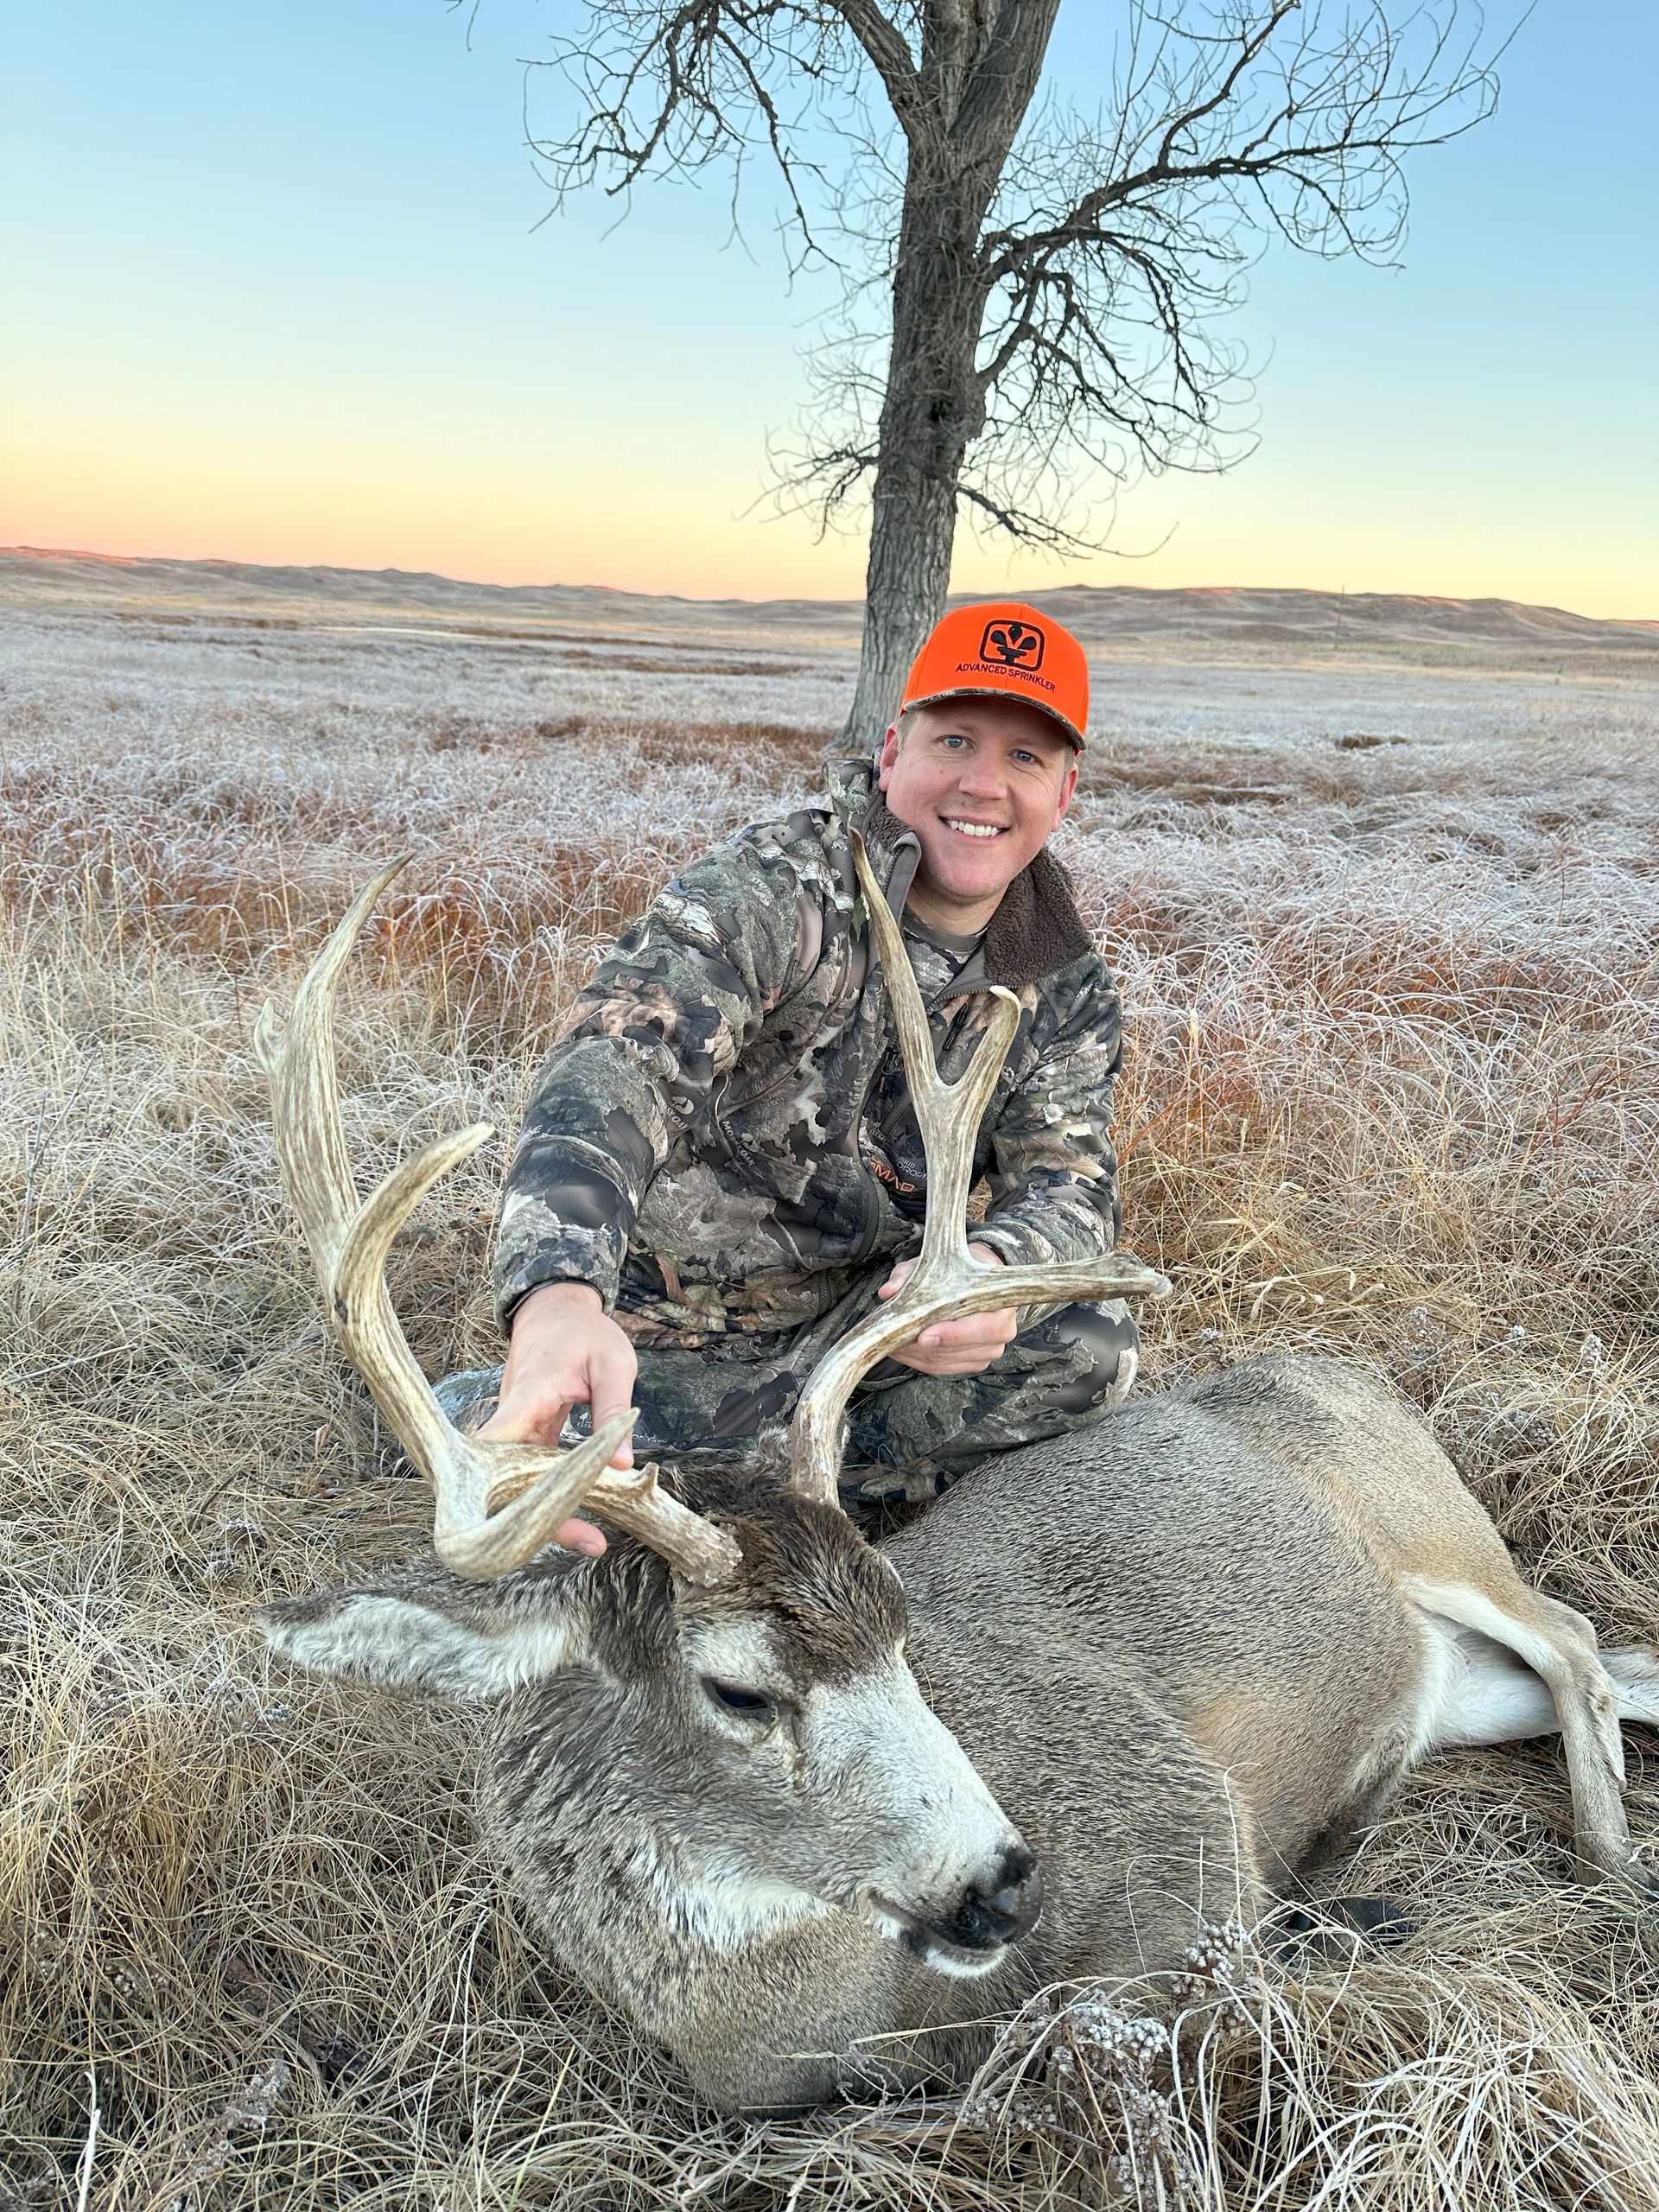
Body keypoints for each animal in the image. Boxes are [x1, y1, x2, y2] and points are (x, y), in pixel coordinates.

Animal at [255, 849, 1659, 2113]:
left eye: (903, 1627)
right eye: (739, 1690)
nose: (1000, 1881)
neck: (817, 2012)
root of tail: (1354, 1372)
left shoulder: (1185, 1831)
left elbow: (1125, 1997)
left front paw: (1339, 1917)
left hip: (1431, 1519)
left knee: (1573, 1632)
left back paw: (1610, 1865)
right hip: (1459, 1678)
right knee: (1606, 1660)